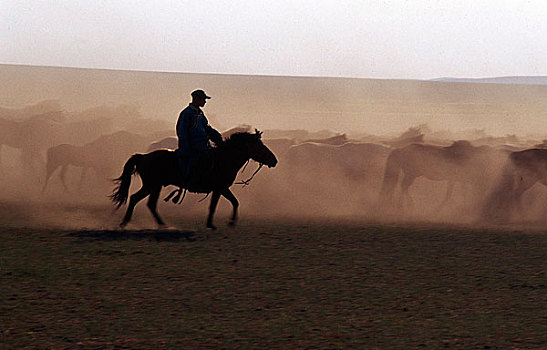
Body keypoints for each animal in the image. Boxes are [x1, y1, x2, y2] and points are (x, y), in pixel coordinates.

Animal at [109, 131, 278, 230]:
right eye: (260, 145)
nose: (274, 160)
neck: (224, 159)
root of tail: (143, 156)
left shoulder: (223, 188)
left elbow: (235, 202)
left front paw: (231, 222)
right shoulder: (219, 189)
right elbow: (214, 206)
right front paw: (213, 224)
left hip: (154, 186)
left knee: (145, 202)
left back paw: (157, 224)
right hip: (152, 185)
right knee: (138, 199)